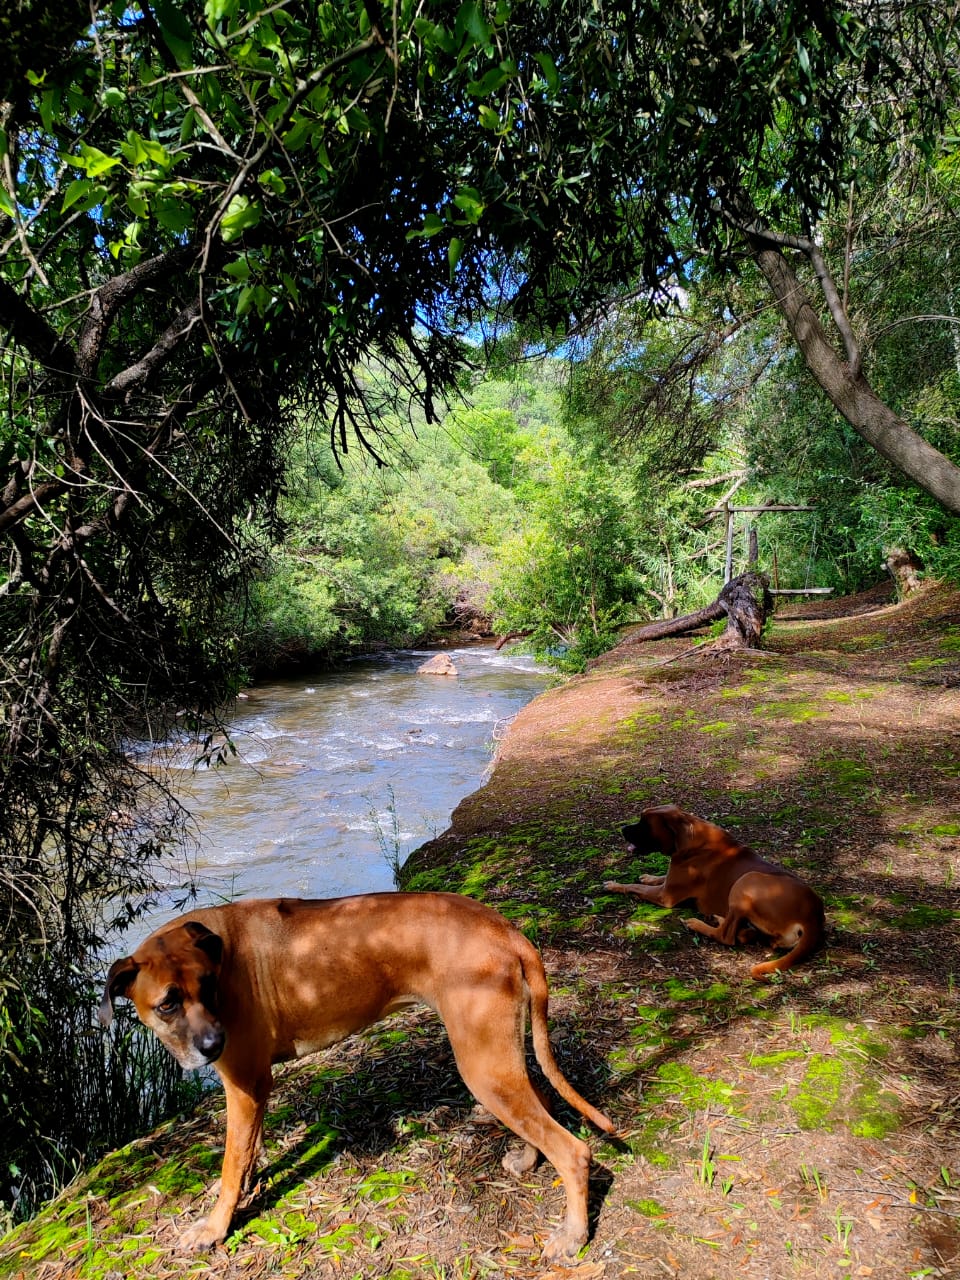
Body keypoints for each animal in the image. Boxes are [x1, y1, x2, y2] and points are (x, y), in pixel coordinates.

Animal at [100, 892, 614, 1260]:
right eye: (168, 1003)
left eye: (208, 988)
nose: (212, 1045)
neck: (220, 949)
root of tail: (506, 929)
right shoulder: (251, 1091)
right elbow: (247, 1150)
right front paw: (249, 1179)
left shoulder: (244, 1083)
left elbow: (230, 1165)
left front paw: (214, 1227)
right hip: (500, 1061)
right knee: (541, 1103)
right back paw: (528, 1160)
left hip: (484, 1067)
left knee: (573, 1151)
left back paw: (573, 1234)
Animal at [603, 804, 825, 978]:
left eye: (645, 824)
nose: (622, 828)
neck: (691, 840)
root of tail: (814, 916)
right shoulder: (669, 881)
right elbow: (656, 878)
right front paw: (647, 876)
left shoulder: (665, 895)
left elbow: (635, 887)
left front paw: (614, 885)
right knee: (746, 934)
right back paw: (720, 918)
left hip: (746, 880)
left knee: (727, 936)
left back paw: (698, 923)